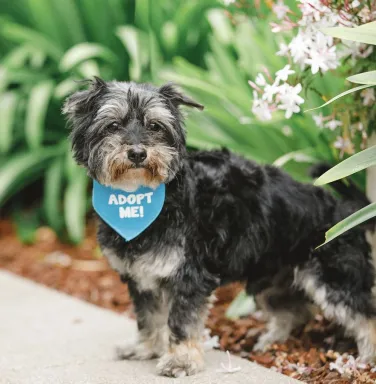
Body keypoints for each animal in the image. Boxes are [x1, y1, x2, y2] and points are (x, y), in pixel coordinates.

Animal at [63, 76, 376, 376]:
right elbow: (148, 317)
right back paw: (271, 341)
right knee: (295, 311)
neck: (137, 199)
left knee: (364, 314)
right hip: (272, 276)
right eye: (113, 125)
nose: (138, 153)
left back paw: (368, 356)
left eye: (155, 126)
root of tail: (342, 207)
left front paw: (181, 360)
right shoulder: (142, 277)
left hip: (334, 277)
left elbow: (181, 321)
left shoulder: (189, 275)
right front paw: (146, 348)